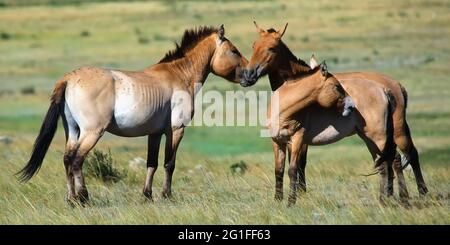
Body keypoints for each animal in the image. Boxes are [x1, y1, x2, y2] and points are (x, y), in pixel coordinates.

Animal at [18, 25, 250, 205]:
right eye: (234, 51)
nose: (251, 74)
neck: (179, 75)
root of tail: (68, 79)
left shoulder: (154, 134)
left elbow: (151, 164)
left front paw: (147, 196)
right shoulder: (175, 130)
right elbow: (169, 164)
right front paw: (166, 195)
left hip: (73, 131)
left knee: (67, 159)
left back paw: (72, 199)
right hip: (92, 132)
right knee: (76, 160)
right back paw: (83, 198)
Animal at [241, 22, 428, 206]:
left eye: (272, 48)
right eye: (253, 45)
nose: (248, 75)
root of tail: (390, 87)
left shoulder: (299, 139)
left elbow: (298, 166)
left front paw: (298, 196)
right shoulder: (283, 140)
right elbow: (283, 169)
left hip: (394, 132)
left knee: (404, 156)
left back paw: (413, 195)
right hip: (371, 137)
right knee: (388, 160)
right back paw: (392, 196)